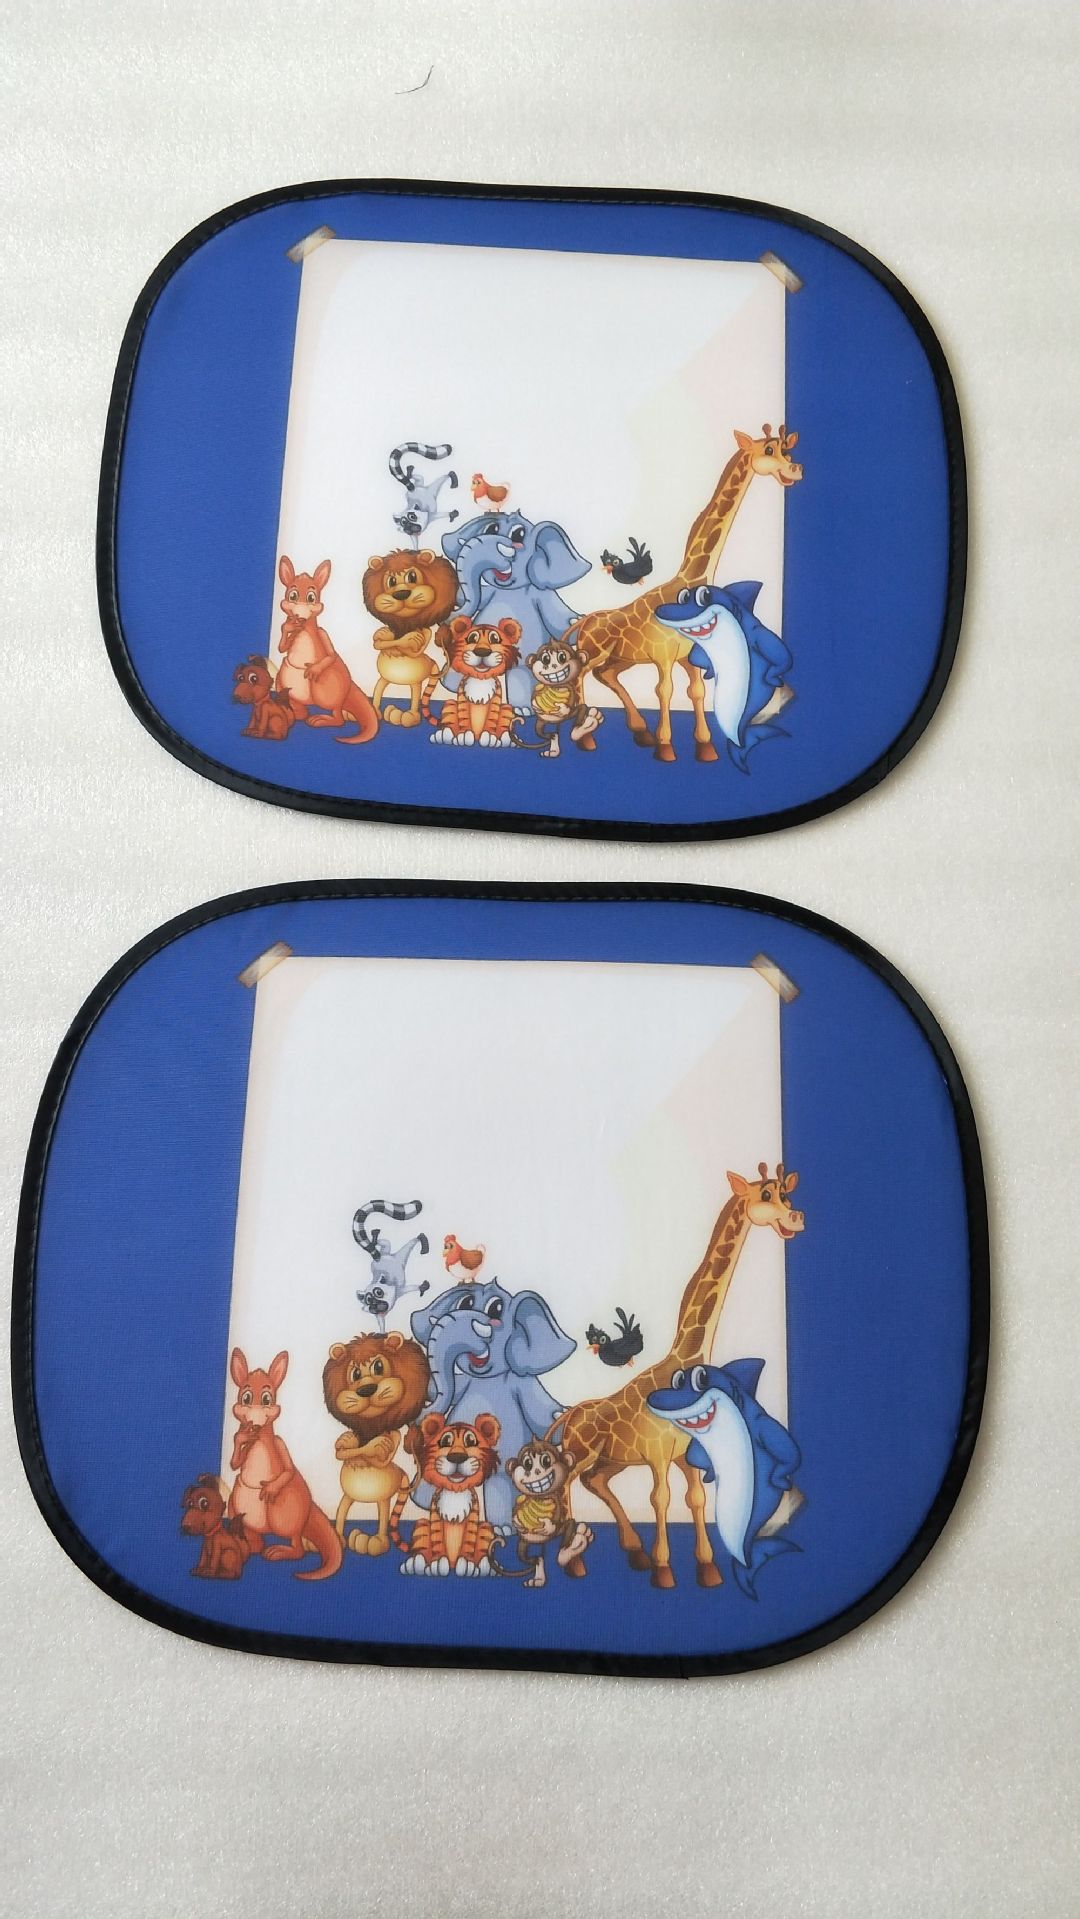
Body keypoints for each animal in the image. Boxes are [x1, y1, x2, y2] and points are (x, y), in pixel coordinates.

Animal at [322, 1330, 430, 1557]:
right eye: (355, 1374)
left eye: (378, 1366)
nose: (367, 1389)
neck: (372, 1429)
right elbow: (342, 1452)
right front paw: (349, 1442)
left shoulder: (394, 1435)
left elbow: (381, 1456)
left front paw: (376, 1446)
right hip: (347, 1497)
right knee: (342, 1510)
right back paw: (338, 1538)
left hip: (384, 1498)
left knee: (383, 1517)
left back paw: (375, 1542)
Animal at [362, 548, 459, 728]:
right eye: (391, 581)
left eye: (412, 577)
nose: (401, 593)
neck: (405, 626)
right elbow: (379, 642)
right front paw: (386, 636)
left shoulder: (426, 632)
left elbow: (414, 647)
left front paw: (409, 639)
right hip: (384, 679)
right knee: (379, 690)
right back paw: (375, 711)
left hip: (416, 683)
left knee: (415, 697)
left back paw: (408, 716)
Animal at [390, 1411, 501, 1577]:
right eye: (445, 1441)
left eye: (471, 1440)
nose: (457, 1457)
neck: (455, 1491)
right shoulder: (435, 1512)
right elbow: (437, 1540)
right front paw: (438, 1563)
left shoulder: (474, 1513)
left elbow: (469, 1540)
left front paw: (466, 1563)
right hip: (421, 1525)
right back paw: (417, 1563)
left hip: (486, 1528)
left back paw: (485, 1565)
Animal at [424, 616, 521, 747]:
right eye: (472, 638)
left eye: (494, 638)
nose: (482, 651)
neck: (480, 679)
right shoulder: (461, 696)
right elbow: (464, 717)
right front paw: (465, 735)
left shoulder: (496, 698)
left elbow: (491, 719)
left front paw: (489, 736)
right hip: (449, 704)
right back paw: (445, 734)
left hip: (506, 708)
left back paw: (506, 738)